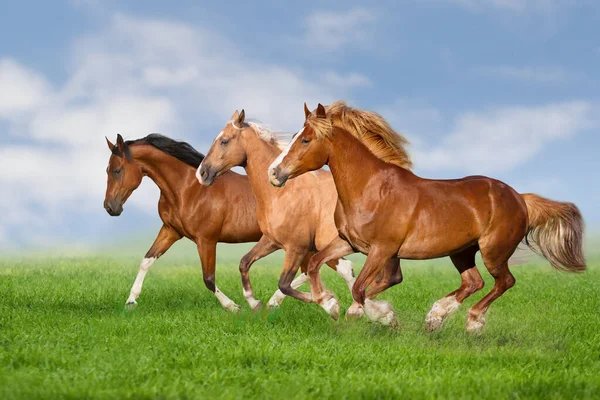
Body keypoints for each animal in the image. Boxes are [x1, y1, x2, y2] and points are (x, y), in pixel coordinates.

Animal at [103, 133, 262, 310]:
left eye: (117, 170)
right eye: (107, 170)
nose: (110, 207)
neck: (189, 190)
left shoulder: (206, 240)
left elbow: (208, 279)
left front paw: (233, 306)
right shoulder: (171, 231)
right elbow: (146, 260)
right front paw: (131, 301)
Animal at [196, 110, 360, 318]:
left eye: (224, 141)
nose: (201, 173)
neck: (283, 193)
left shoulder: (297, 247)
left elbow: (284, 283)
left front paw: (329, 304)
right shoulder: (272, 240)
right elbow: (244, 262)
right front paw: (254, 303)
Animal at [268, 101, 584, 332]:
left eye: (306, 139)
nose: (274, 173)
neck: (370, 188)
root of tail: (520, 198)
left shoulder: (382, 249)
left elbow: (359, 289)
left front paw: (383, 316)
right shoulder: (349, 243)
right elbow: (316, 265)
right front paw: (329, 304)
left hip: (493, 251)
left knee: (504, 282)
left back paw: (472, 322)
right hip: (461, 251)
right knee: (474, 282)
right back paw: (435, 317)